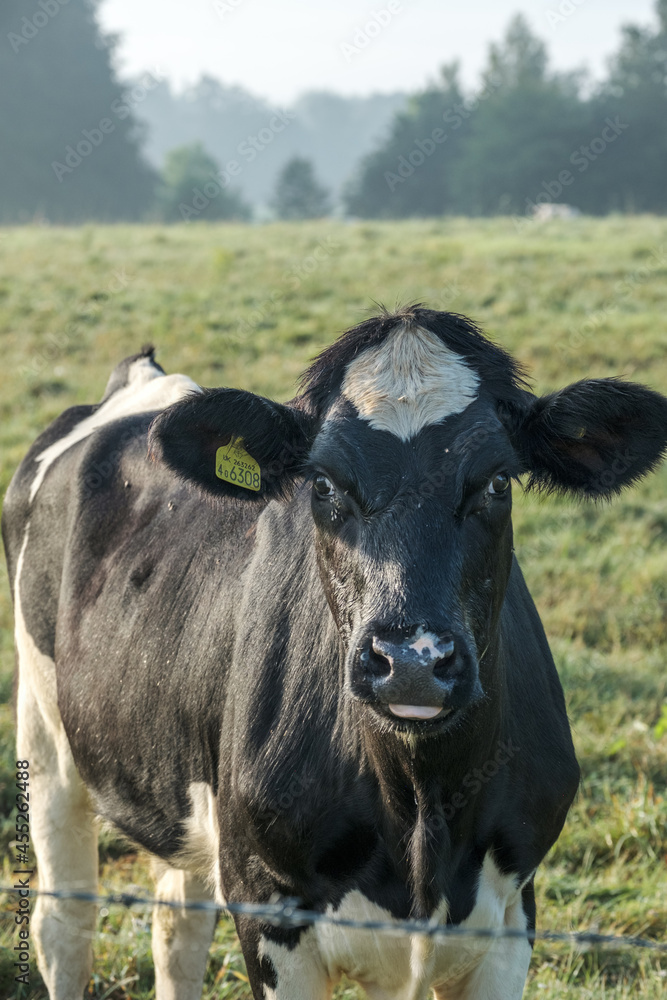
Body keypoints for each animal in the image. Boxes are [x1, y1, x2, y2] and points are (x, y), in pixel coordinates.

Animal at [5, 306, 667, 1000]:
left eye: (497, 482)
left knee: (176, 925)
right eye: (322, 484)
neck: (421, 809)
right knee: (64, 923)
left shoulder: (513, 911)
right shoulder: (267, 903)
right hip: (43, 736)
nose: (412, 661)